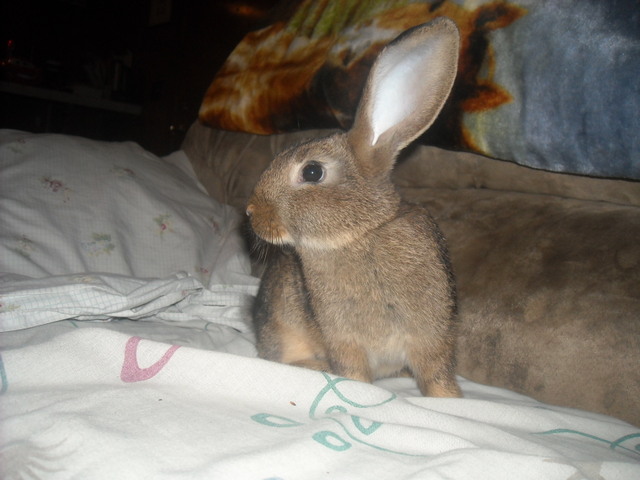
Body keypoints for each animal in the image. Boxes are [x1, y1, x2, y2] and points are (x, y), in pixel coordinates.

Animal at [247, 17, 461, 397]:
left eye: (312, 172)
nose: (251, 212)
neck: (360, 233)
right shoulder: (344, 340)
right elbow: (354, 373)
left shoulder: (432, 335)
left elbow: (436, 374)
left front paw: (449, 399)